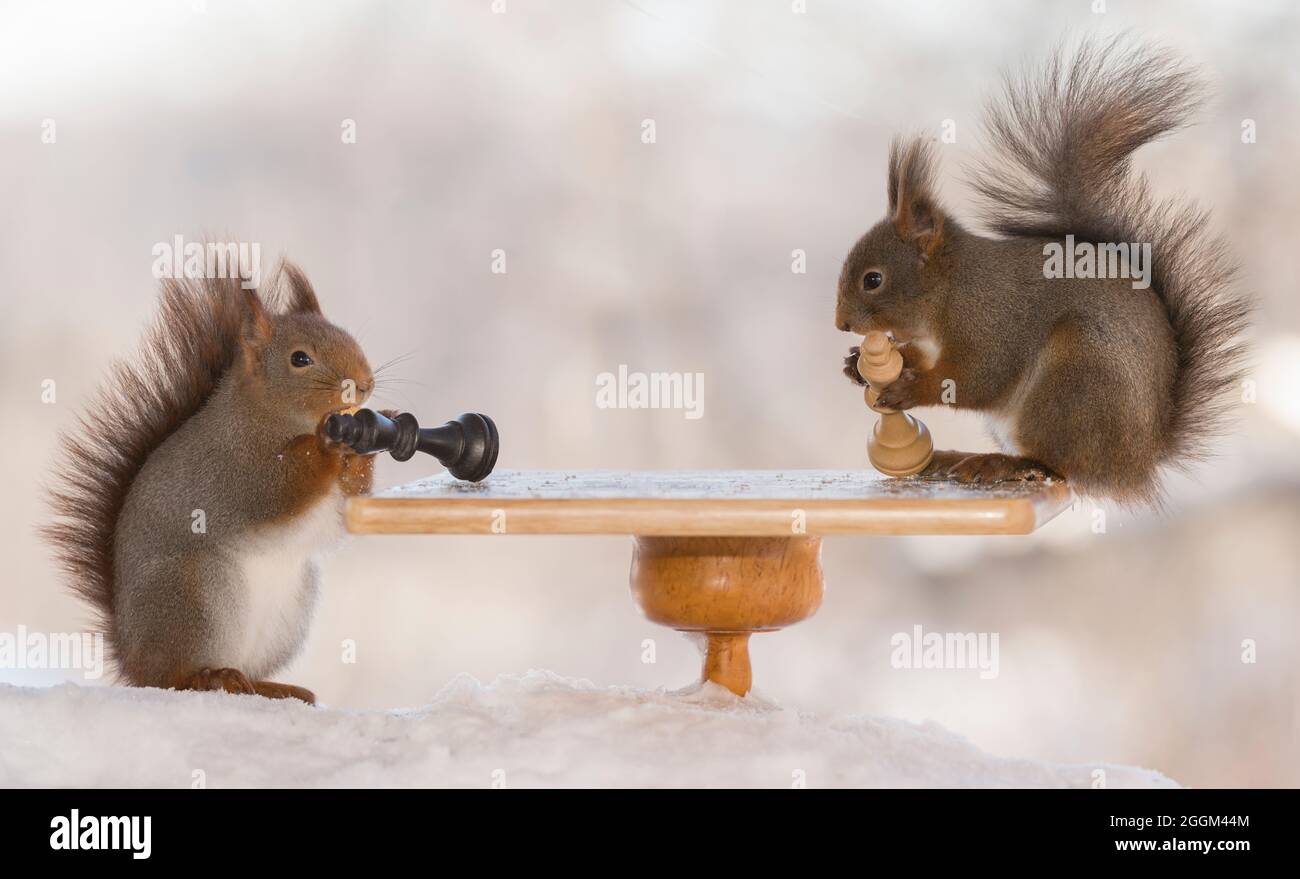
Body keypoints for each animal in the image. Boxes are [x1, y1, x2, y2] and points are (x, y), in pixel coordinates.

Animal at [832, 39, 1248, 507]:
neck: (948, 290)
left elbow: (975, 379)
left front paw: (908, 389)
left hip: (1075, 379)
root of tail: (1138, 462)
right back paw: (954, 457)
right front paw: (857, 364)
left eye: (873, 279)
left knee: (1057, 465)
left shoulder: (991, 323)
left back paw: (998, 463)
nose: (841, 323)